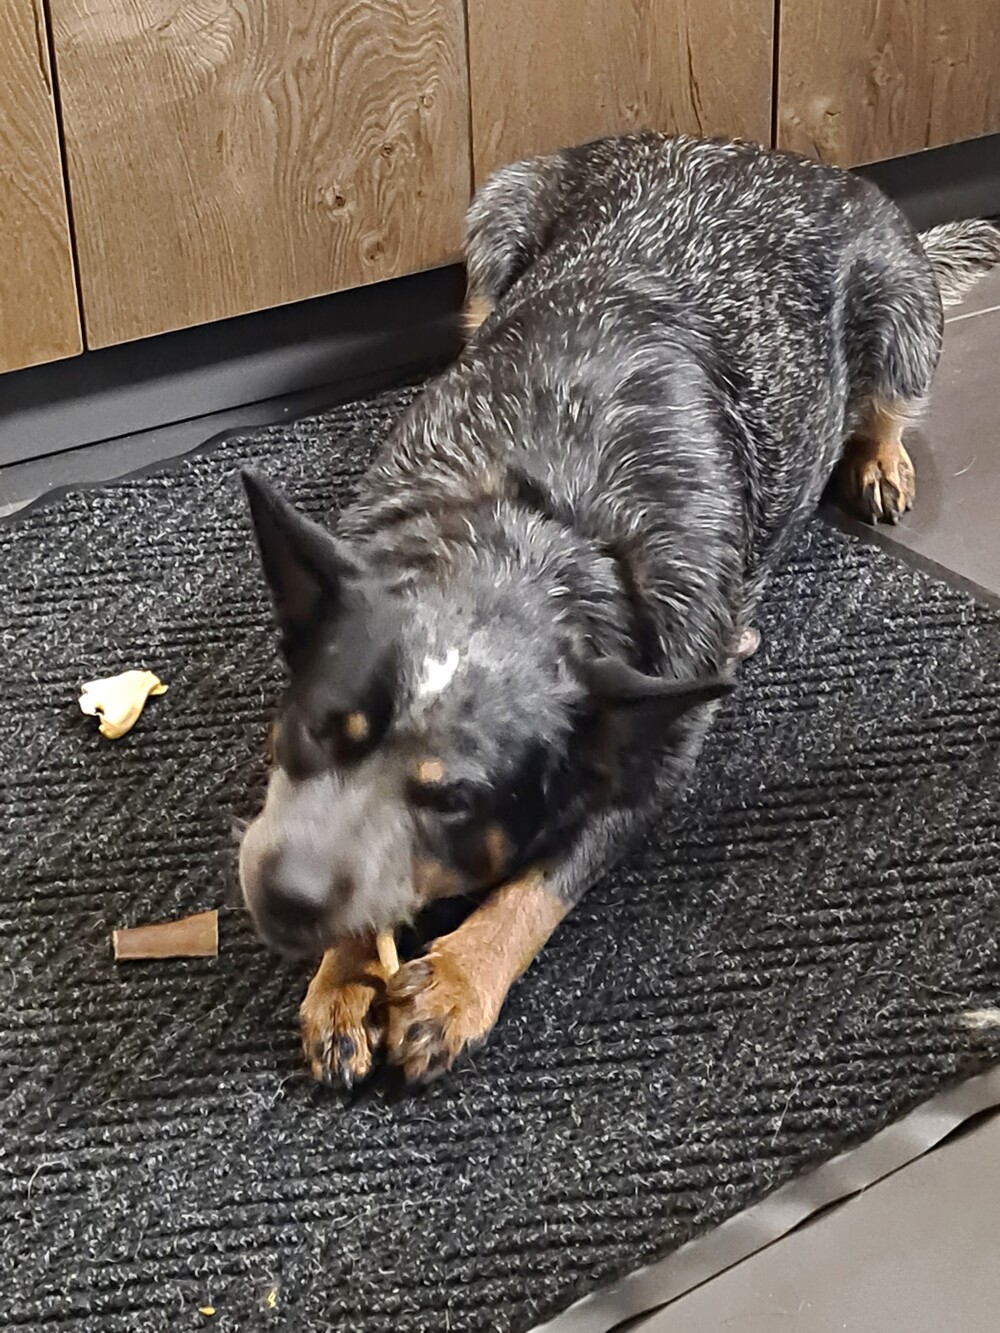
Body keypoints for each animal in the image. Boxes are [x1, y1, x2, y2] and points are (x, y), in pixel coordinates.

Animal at [239, 133, 1000, 1086]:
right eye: (313, 729)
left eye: (455, 801)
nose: (283, 892)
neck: (533, 521)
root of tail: (766, 153)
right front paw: (343, 972)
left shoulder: (655, 752)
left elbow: (539, 885)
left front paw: (458, 977)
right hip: (497, 215)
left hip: (900, 307)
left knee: (890, 399)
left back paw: (879, 459)